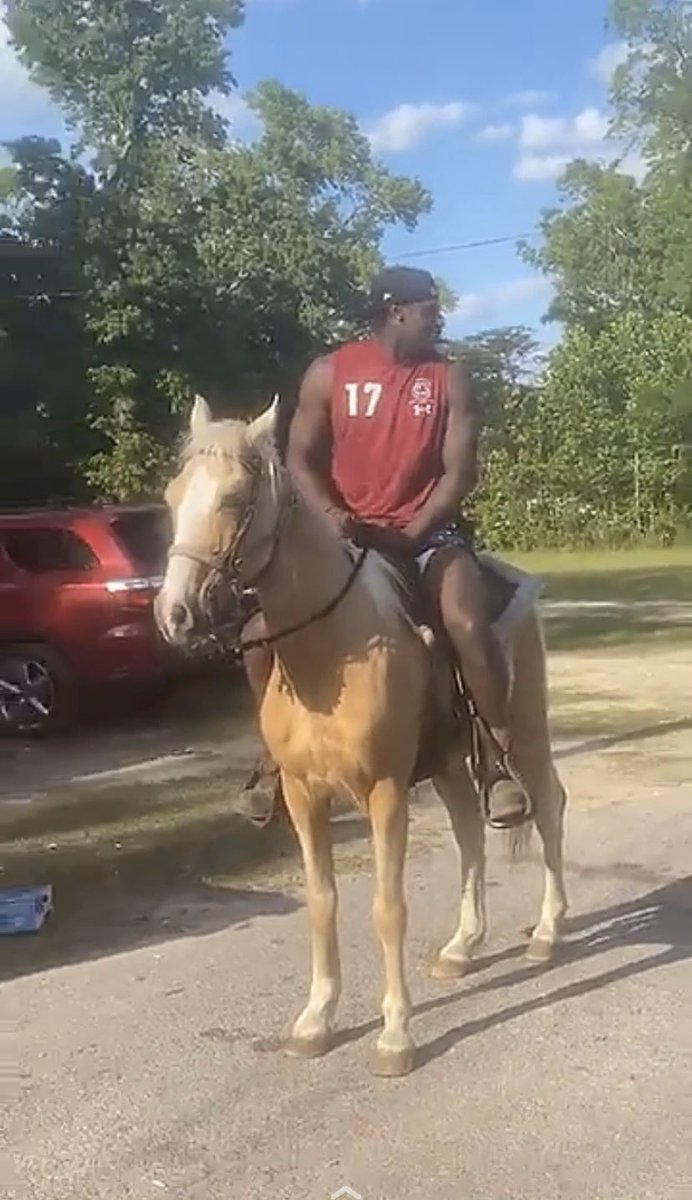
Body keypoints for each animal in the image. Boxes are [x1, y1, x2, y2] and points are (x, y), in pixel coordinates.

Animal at [154, 395, 568, 1078]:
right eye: (172, 495)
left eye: (236, 499)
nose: (174, 615)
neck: (331, 654)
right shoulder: (303, 794)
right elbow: (322, 901)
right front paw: (316, 1020)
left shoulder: (385, 790)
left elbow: (386, 907)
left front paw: (395, 1034)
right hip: (449, 762)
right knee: (470, 833)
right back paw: (462, 946)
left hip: (526, 730)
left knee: (548, 810)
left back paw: (550, 931)